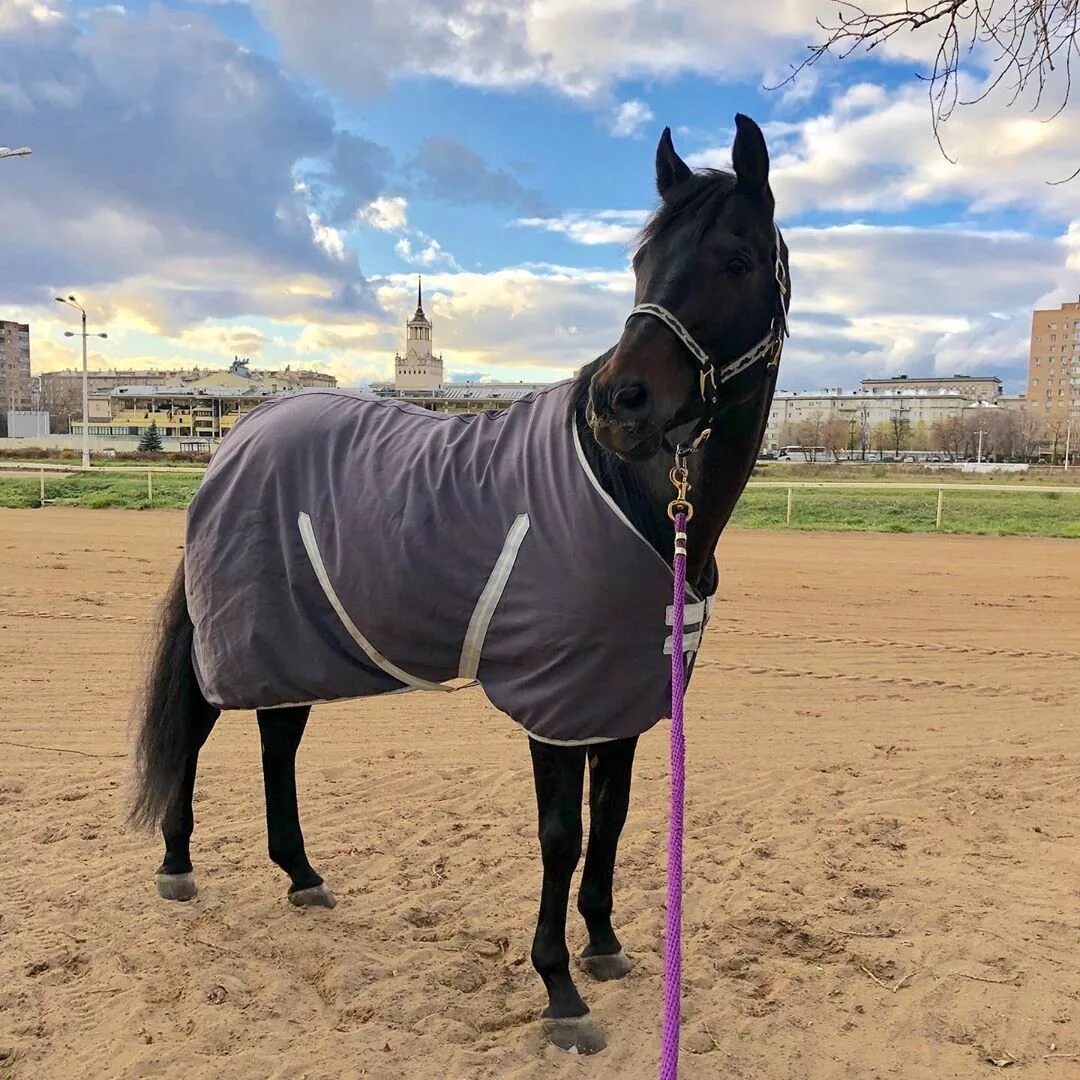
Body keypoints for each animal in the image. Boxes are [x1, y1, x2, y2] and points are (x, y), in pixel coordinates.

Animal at [128, 113, 786, 1058]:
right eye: (641, 263)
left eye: (735, 259)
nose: (619, 405)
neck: (631, 496)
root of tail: (241, 433)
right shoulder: (558, 704)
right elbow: (563, 835)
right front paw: (559, 990)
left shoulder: (621, 694)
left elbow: (615, 818)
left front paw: (605, 946)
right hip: (239, 634)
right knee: (194, 728)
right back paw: (178, 865)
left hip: (292, 637)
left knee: (276, 741)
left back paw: (301, 874)